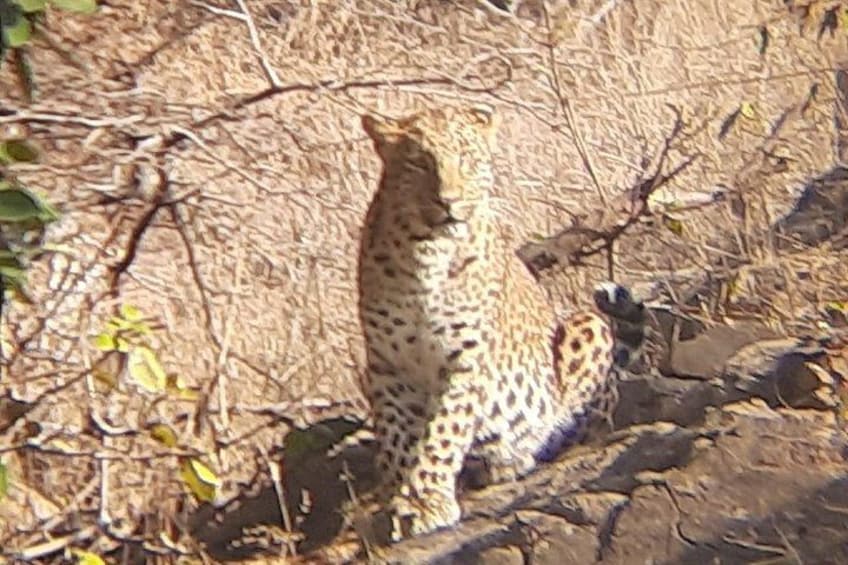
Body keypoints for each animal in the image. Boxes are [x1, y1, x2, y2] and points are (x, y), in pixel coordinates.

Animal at [357, 104, 645, 539]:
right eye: (419, 162)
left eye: (467, 159)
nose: (449, 201)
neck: (426, 250)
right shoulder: (387, 365)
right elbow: (396, 437)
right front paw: (400, 498)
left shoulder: (465, 357)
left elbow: (443, 431)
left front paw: (426, 501)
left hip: (588, 327)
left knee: (589, 422)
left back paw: (518, 456)